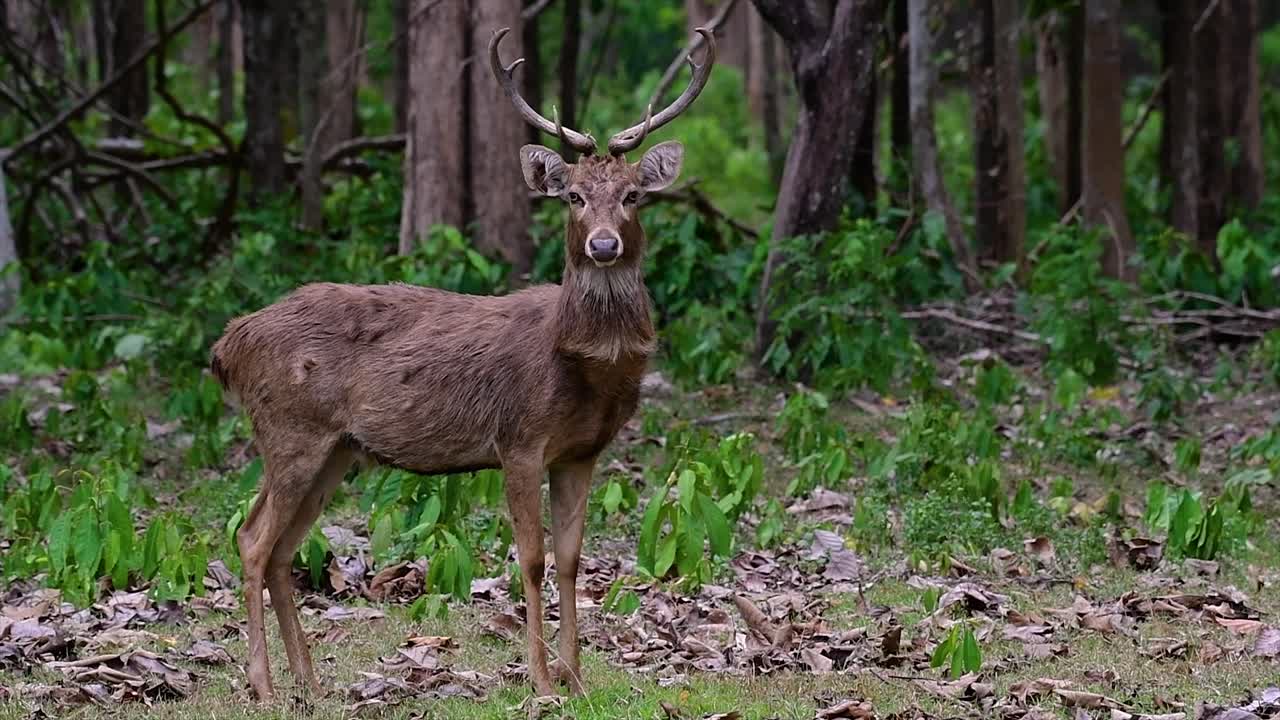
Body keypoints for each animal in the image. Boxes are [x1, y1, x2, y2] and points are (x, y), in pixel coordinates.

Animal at [209, 27, 716, 702]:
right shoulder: (519, 437)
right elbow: (532, 558)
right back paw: (265, 686)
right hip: (290, 429)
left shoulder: (582, 451)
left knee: (282, 548)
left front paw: (577, 679)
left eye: (633, 196)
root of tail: (228, 345)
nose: (603, 243)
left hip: (335, 447)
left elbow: (573, 559)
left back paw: (310, 685)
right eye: (574, 196)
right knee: (251, 539)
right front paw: (542, 684)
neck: (584, 366)